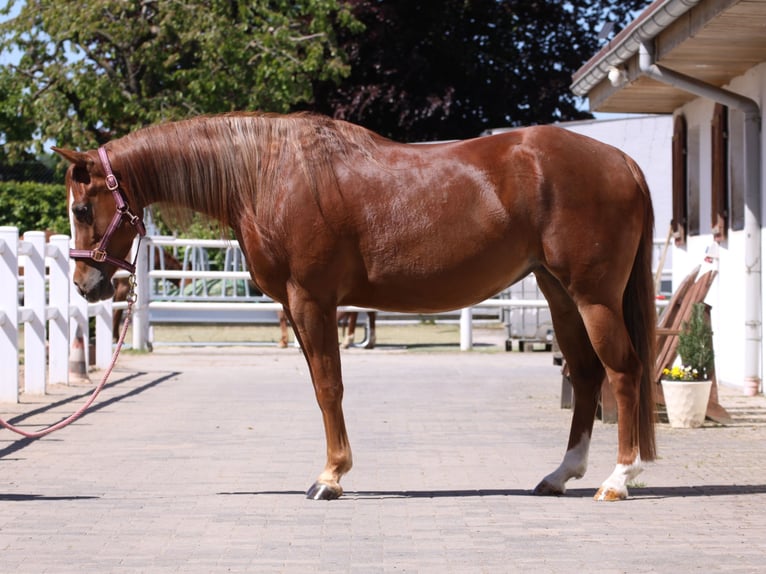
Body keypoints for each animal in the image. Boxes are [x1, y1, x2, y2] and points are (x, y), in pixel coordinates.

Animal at [55, 111, 656, 502]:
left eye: (82, 208)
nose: (87, 284)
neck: (268, 173)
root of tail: (623, 162)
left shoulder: (312, 301)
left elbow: (328, 387)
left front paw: (330, 477)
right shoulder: (300, 308)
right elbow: (322, 385)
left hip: (592, 296)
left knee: (623, 372)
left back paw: (618, 479)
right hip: (559, 293)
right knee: (585, 373)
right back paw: (562, 474)